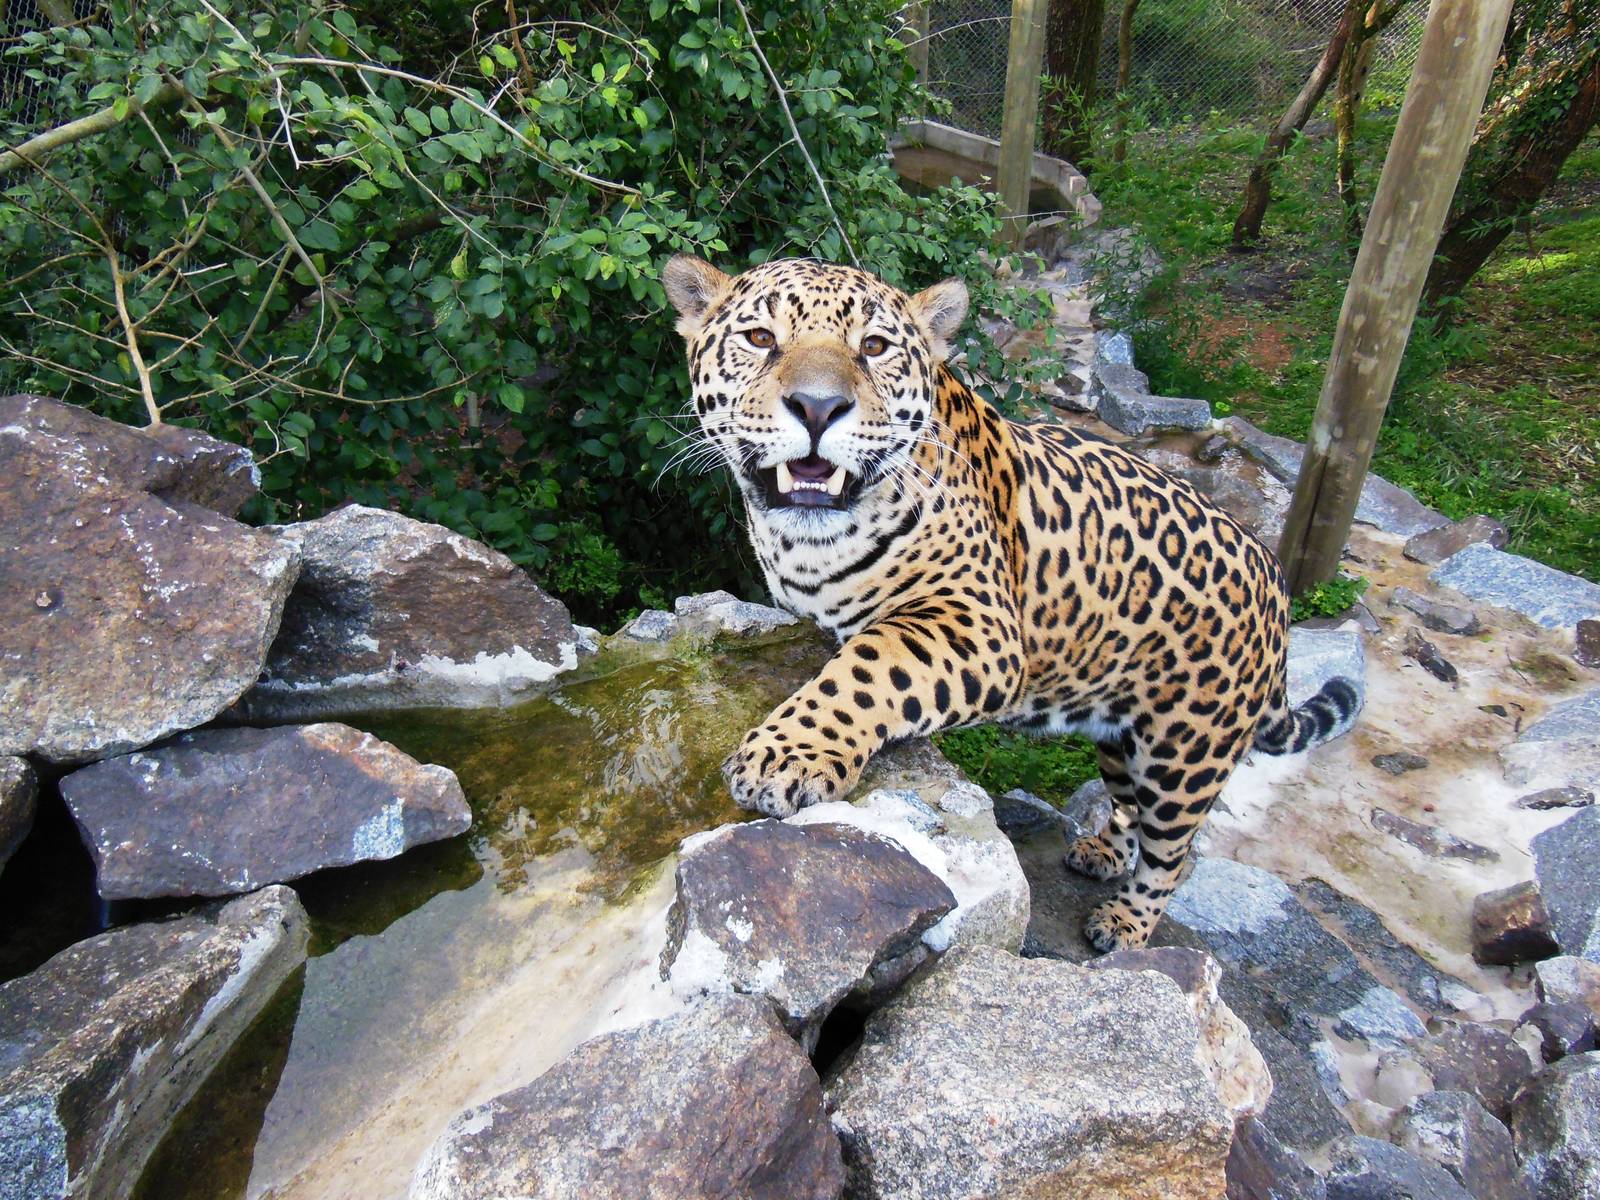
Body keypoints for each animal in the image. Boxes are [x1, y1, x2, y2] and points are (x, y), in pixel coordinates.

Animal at [661, 254, 1357, 953]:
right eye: (760, 339)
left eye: (875, 347)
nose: (817, 407)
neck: (805, 545)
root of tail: (1276, 583)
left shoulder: (977, 622)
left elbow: (864, 669)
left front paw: (785, 757)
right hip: (1122, 735)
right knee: (1129, 807)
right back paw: (1102, 851)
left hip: (1187, 753)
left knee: (1174, 855)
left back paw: (1125, 924)